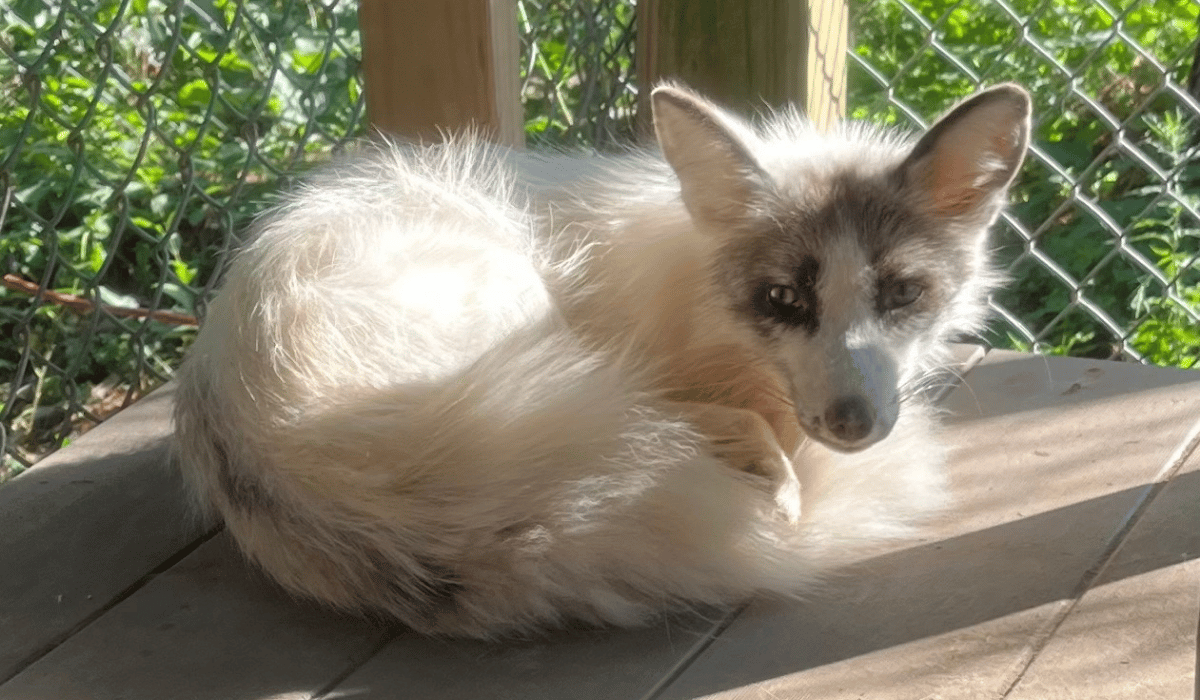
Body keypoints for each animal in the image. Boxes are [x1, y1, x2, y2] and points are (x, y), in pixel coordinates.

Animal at [172, 83, 1031, 638]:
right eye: (784, 298)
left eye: (903, 293)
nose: (853, 423)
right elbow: (728, 416)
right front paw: (776, 473)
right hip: (520, 304)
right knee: (653, 412)